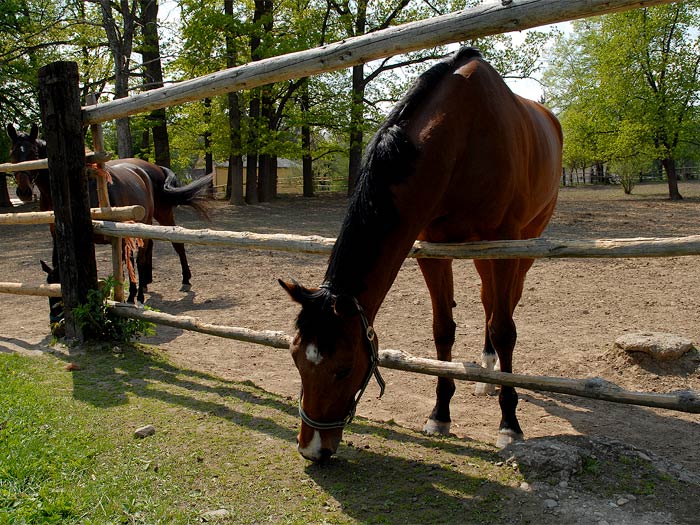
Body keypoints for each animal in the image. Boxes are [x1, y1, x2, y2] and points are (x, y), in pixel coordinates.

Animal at [6, 122, 213, 302]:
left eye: (33, 153)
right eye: (13, 152)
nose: (24, 191)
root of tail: (152, 168)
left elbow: (123, 264)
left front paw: (132, 295)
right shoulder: (57, 234)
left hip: (161, 214)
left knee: (173, 244)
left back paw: (182, 280)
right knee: (147, 248)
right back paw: (146, 282)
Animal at [278, 47, 564, 460]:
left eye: (344, 368)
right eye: (296, 357)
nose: (312, 448)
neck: (464, 135)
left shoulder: (505, 242)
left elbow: (505, 329)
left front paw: (509, 425)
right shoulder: (431, 250)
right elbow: (443, 330)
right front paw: (440, 414)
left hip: (521, 245)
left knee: (504, 306)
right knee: (488, 300)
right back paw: (486, 370)